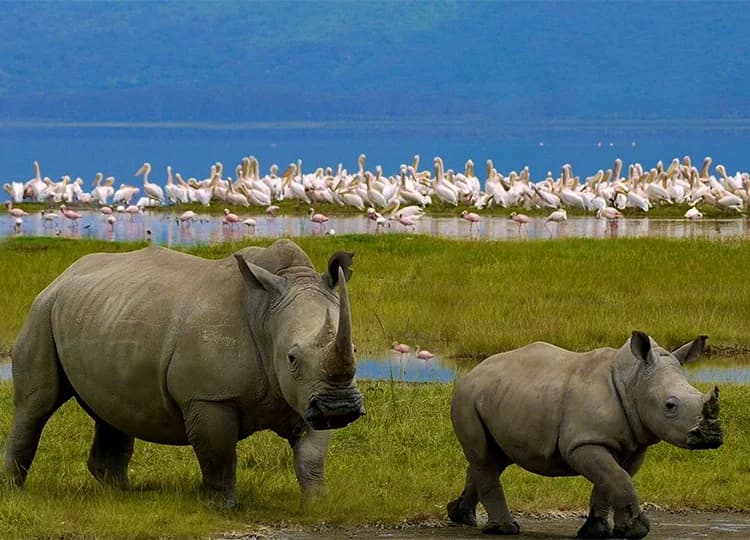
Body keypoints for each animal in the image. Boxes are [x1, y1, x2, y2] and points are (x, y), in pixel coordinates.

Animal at [5, 239, 364, 508]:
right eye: (291, 357)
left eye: (355, 349)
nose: (340, 408)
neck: (266, 315)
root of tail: (64, 273)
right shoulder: (209, 397)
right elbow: (219, 457)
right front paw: (224, 508)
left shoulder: (308, 395)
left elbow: (312, 457)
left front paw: (317, 505)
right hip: (42, 310)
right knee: (36, 406)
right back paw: (15, 490)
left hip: (102, 312)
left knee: (111, 409)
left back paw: (123, 494)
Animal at [448, 331, 723, 538]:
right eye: (670, 406)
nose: (713, 437)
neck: (633, 381)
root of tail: (472, 371)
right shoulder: (583, 442)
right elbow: (618, 479)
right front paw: (636, 530)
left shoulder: (632, 445)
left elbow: (611, 481)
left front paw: (597, 531)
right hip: (467, 397)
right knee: (484, 457)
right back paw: (505, 529)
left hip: (500, 396)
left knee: (496, 457)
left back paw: (462, 516)